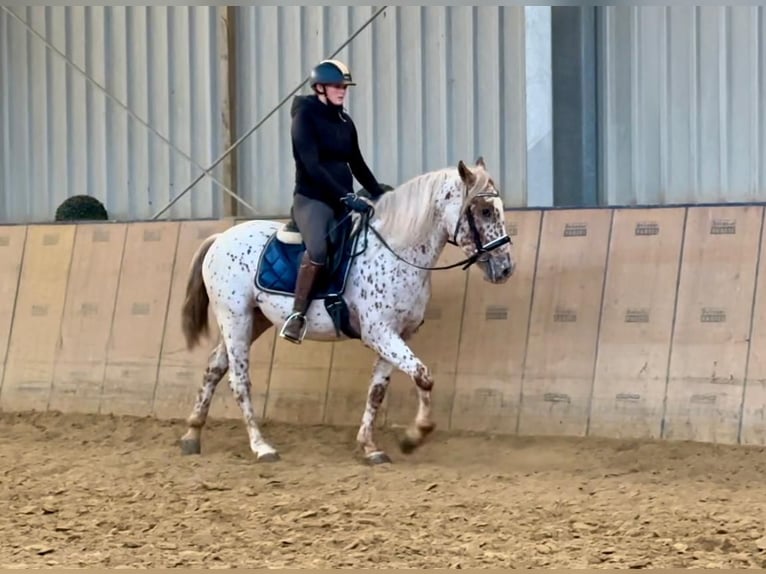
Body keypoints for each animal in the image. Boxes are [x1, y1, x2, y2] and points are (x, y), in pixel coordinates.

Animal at [178, 158, 516, 468]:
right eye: (485, 211)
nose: (505, 269)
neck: (397, 252)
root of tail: (220, 238)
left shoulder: (397, 334)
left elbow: (379, 390)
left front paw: (370, 447)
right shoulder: (379, 332)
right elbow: (422, 376)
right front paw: (415, 435)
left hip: (253, 319)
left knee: (215, 368)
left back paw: (192, 435)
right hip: (235, 318)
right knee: (239, 380)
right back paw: (262, 447)